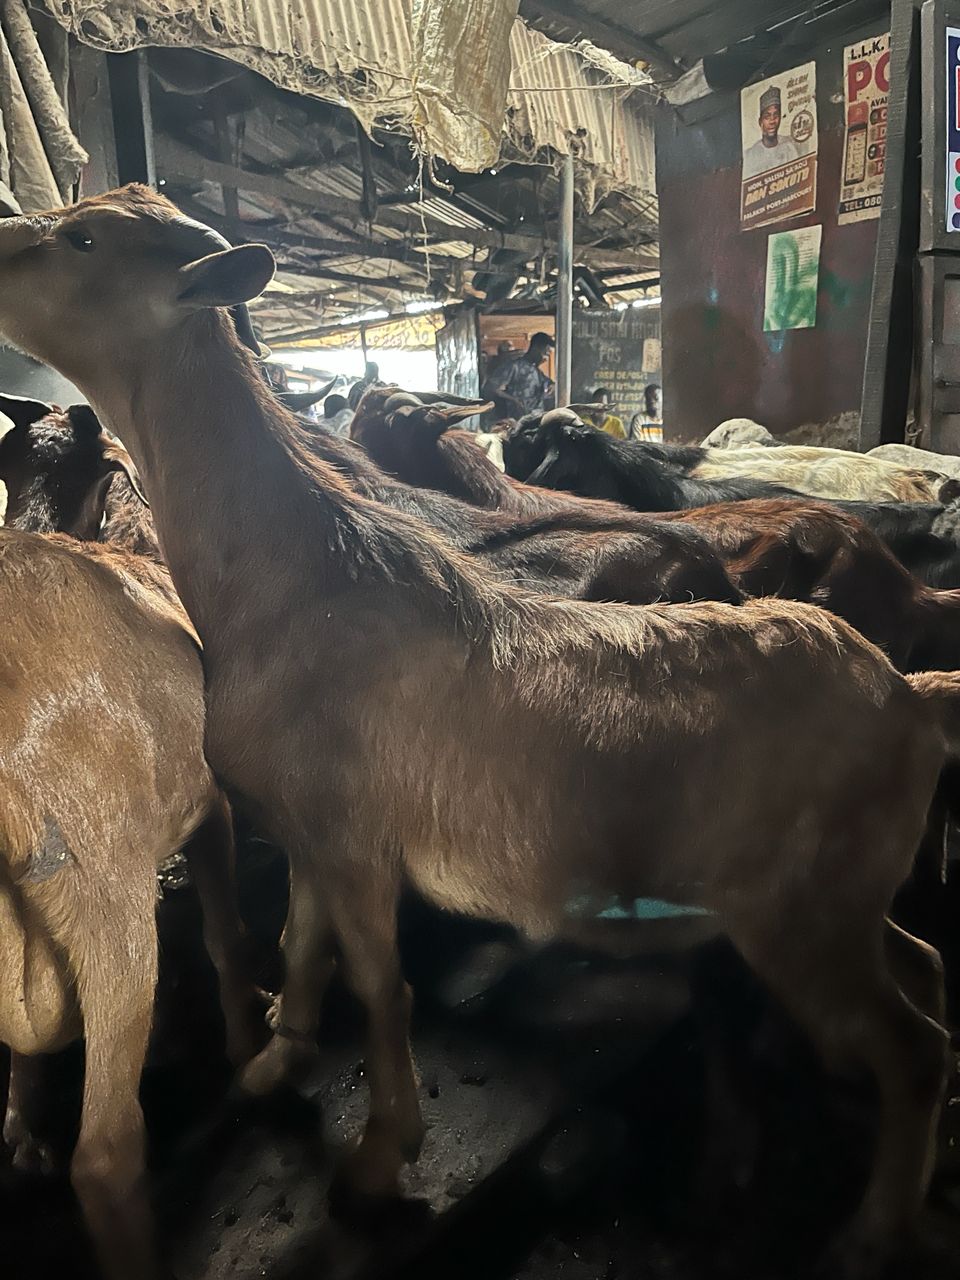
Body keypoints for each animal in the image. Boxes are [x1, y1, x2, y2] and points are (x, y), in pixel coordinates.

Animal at [0, 186, 957, 1275]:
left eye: (81, 240)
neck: (300, 576)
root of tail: (914, 692)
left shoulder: (357, 840)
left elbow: (381, 987)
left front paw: (378, 1160)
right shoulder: (312, 827)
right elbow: (302, 945)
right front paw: (273, 1064)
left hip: (800, 916)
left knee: (911, 1046)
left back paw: (869, 1233)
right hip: (845, 895)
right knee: (924, 973)